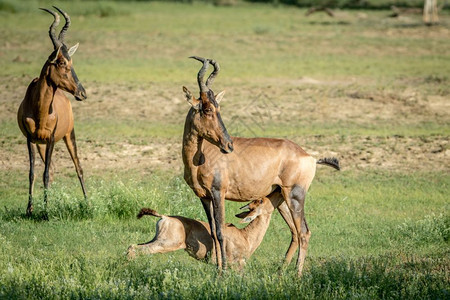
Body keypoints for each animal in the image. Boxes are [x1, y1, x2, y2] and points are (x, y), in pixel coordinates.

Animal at [16, 7, 87, 217]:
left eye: (71, 61)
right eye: (62, 62)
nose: (82, 93)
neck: (41, 109)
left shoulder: (52, 139)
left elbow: (45, 174)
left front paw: (46, 212)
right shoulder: (30, 140)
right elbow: (33, 173)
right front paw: (30, 209)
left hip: (69, 135)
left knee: (78, 167)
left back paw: (88, 204)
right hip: (41, 144)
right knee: (53, 169)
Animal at [126, 193, 284, 270]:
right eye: (261, 201)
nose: (279, 193)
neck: (244, 235)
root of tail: (164, 217)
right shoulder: (238, 264)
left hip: (156, 239)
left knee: (132, 246)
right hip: (166, 244)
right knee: (138, 250)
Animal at [181, 57, 340, 276]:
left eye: (218, 108)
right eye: (207, 109)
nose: (228, 145)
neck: (203, 154)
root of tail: (310, 157)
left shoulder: (218, 193)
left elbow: (221, 231)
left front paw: (223, 272)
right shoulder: (203, 196)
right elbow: (212, 231)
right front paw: (218, 268)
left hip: (295, 195)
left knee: (304, 232)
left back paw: (297, 274)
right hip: (280, 199)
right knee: (294, 231)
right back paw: (282, 270)